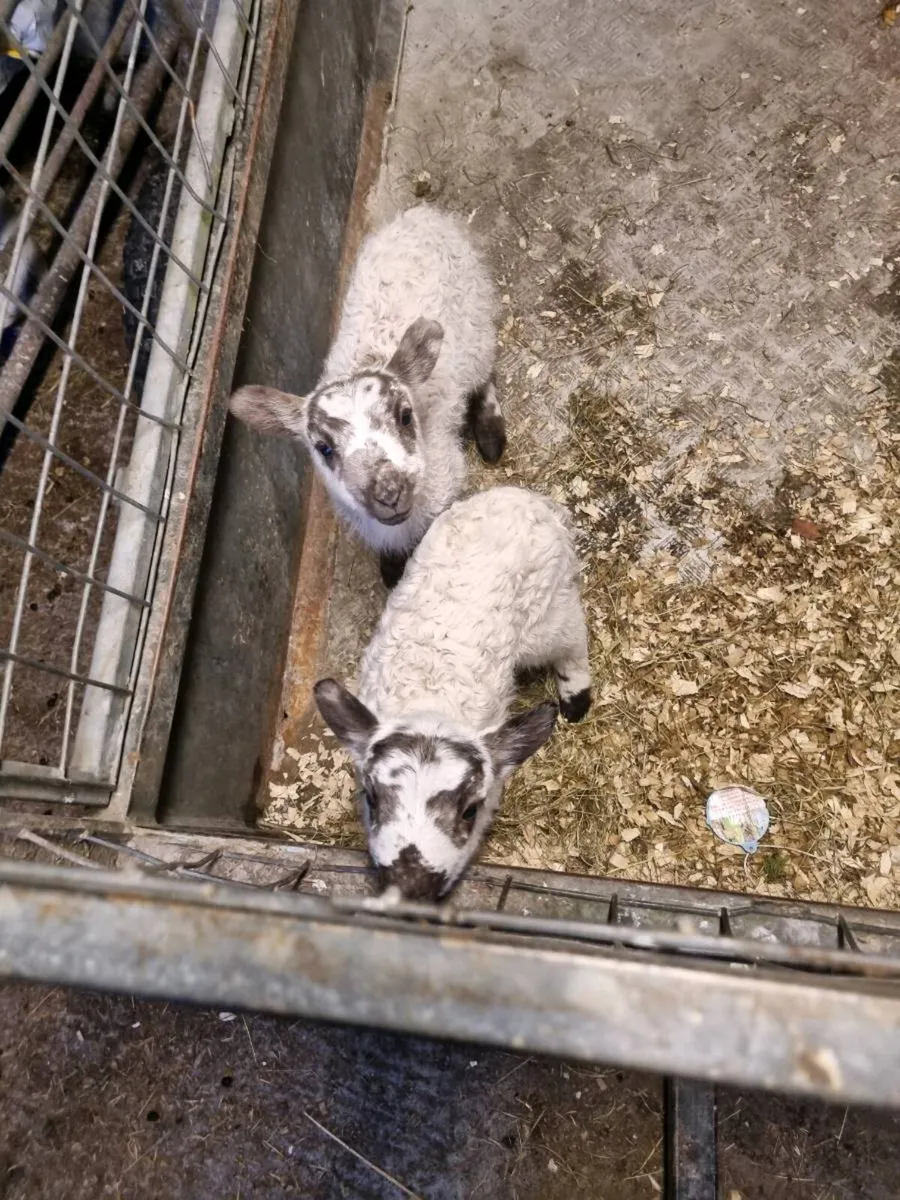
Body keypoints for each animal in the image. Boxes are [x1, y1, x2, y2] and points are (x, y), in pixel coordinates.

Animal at [228, 205, 504, 589]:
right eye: (324, 448)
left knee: (484, 374)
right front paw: (391, 571)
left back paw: (491, 435)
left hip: (477, 322)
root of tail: (423, 214)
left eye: (405, 416)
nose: (389, 493)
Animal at [314, 486, 593, 902]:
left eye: (470, 811)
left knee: (573, 637)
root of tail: (522, 498)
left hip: (549, 612)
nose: (410, 884)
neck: (429, 703)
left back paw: (576, 698)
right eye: (372, 799)